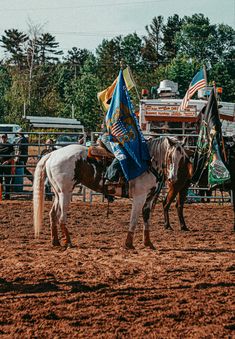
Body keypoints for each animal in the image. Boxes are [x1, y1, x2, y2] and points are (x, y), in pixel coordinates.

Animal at [33, 137, 187, 250]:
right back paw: (68, 242)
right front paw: (129, 244)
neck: (146, 164)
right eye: (169, 156)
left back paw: (56, 242)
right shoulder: (139, 197)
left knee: (52, 214)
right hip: (65, 193)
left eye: (181, 157)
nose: (173, 178)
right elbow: (134, 219)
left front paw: (148, 243)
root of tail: (53, 153)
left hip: (57, 193)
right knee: (61, 217)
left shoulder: (149, 198)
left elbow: (146, 219)